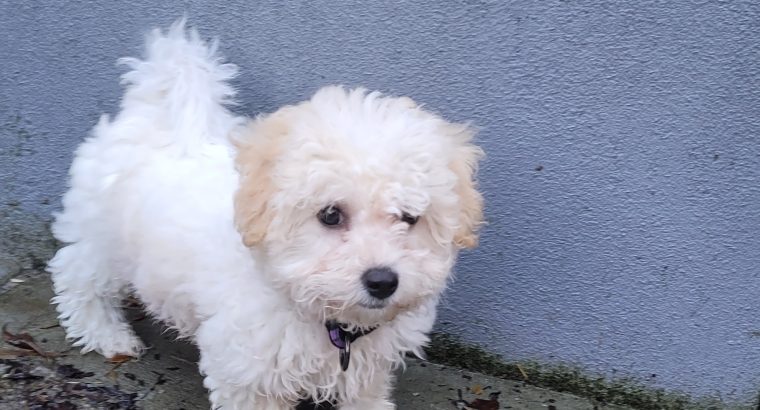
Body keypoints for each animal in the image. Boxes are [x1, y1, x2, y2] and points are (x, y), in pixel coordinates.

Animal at [47, 21, 484, 410]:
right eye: (330, 215)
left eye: (409, 218)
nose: (382, 281)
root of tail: (154, 114)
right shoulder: (247, 371)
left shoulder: (366, 366)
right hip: (100, 236)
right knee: (78, 276)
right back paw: (108, 336)